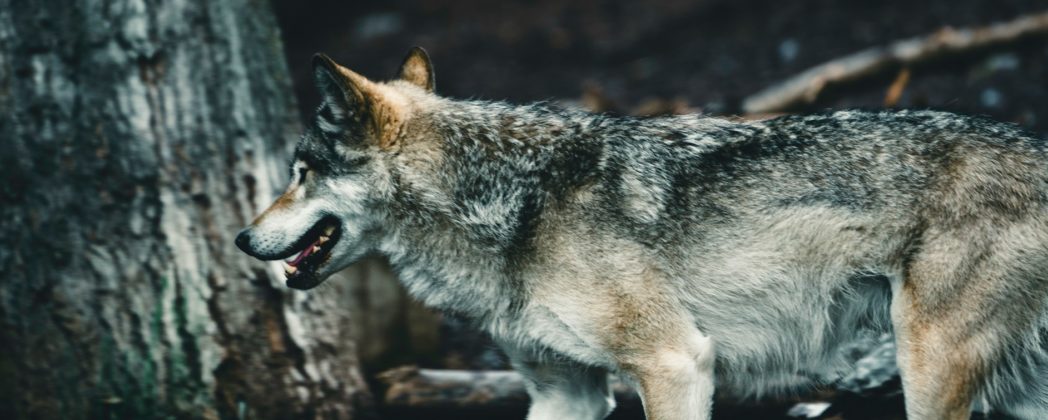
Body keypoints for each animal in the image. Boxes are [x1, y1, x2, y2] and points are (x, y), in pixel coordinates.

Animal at [235, 47, 1048, 419]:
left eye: (301, 171)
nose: (242, 240)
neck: (513, 206)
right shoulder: (563, 394)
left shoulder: (676, 363)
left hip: (929, 373)